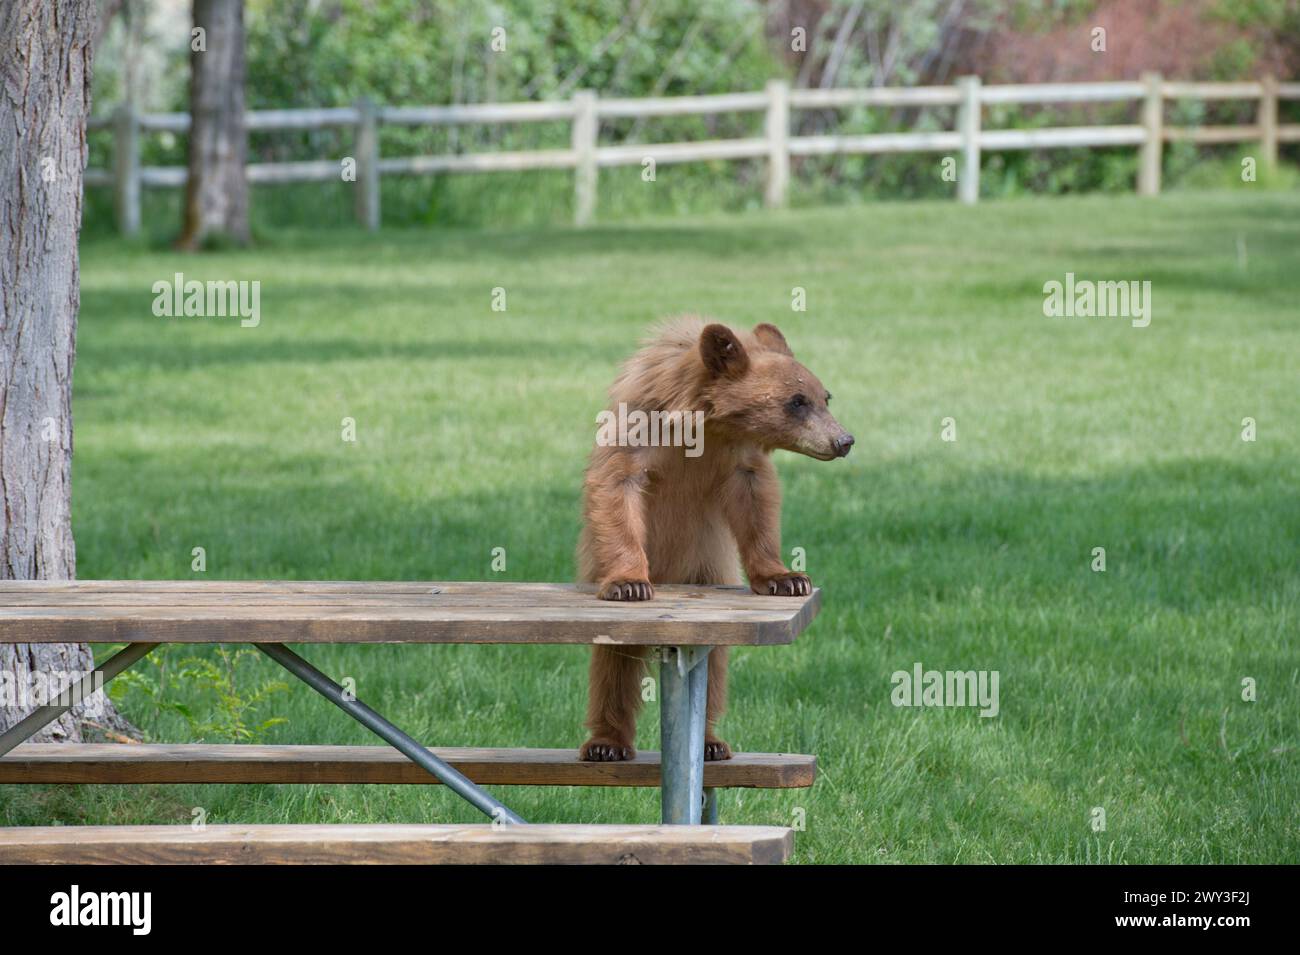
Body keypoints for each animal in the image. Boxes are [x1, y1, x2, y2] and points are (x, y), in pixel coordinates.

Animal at [578, 317, 853, 762]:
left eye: (824, 397)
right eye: (797, 401)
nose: (844, 441)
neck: (703, 426)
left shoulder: (739, 455)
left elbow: (756, 500)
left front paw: (787, 578)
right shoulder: (639, 428)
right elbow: (618, 483)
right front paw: (629, 583)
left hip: (708, 567)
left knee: (714, 668)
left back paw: (708, 742)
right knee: (613, 662)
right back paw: (606, 743)